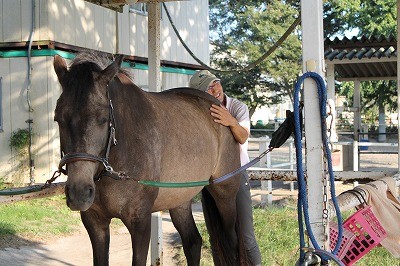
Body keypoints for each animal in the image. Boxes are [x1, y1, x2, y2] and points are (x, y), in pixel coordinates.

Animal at [53, 52, 247, 266]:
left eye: (103, 118)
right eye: (58, 118)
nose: (79, 193)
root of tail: (220, 108)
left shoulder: (140, 221)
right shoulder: (95, 223)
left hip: (225, 194)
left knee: (231, 242)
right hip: (180, 199)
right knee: (193, 242)